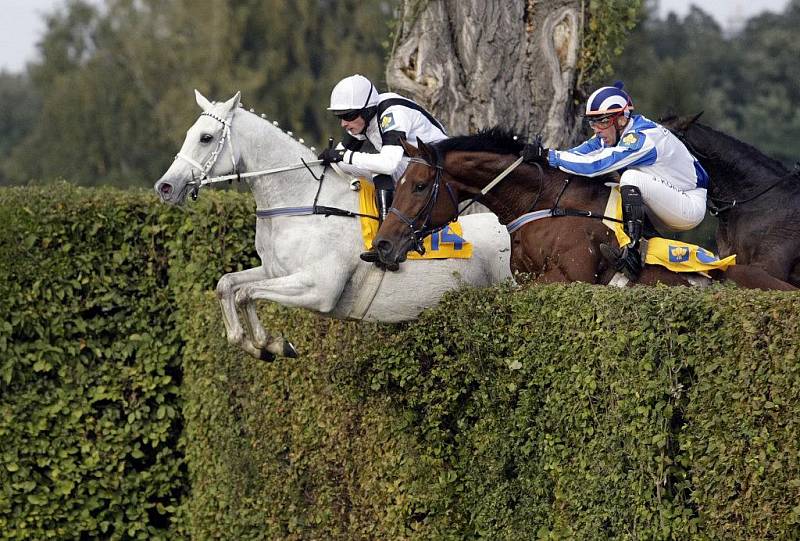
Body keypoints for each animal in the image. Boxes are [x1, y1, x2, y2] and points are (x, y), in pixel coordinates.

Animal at [153, 90, 510, 358]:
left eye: (206, 137)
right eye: (189, 134)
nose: (165, 186)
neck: (304, 204)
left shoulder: (318, 288)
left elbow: (246, 294)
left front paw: (274, 344)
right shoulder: (276, 271)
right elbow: (227, 284)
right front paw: (252, 345)